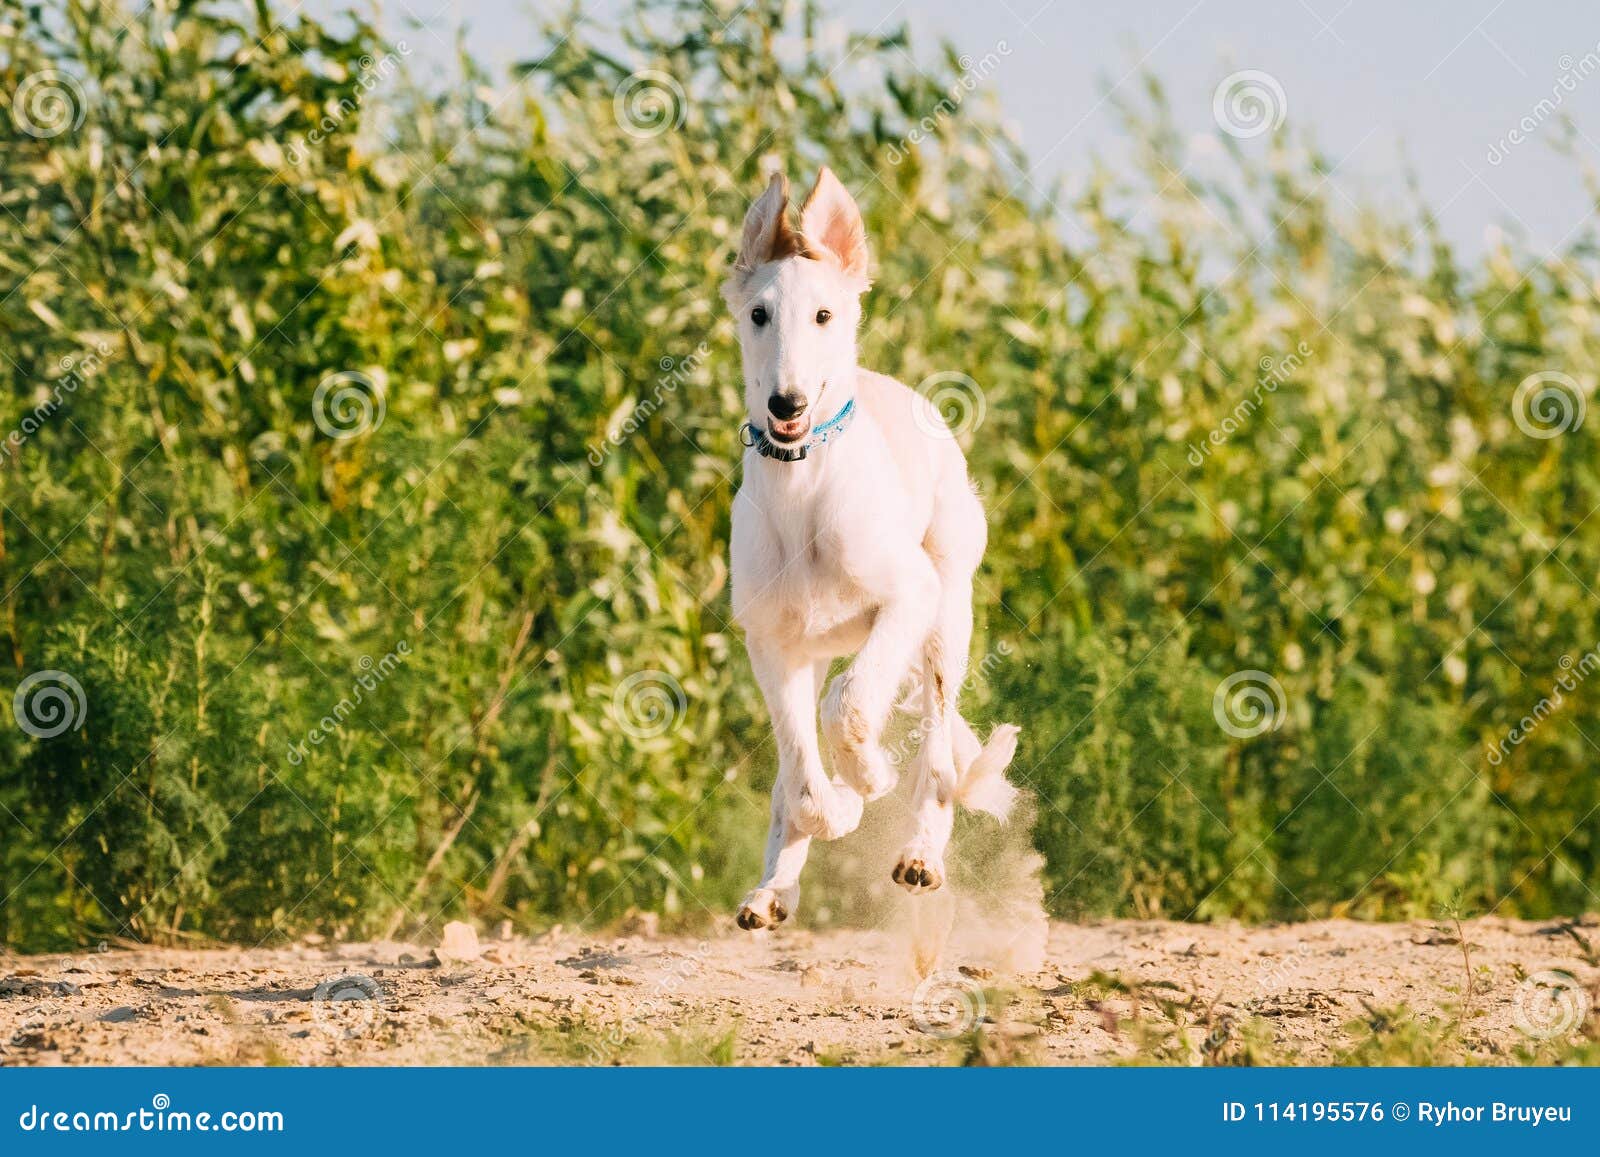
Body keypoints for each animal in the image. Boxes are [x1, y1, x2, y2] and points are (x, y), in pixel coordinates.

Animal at [723, 167, 1011, 934]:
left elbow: (849, 708)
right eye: (758, 315)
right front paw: (837, 810)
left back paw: (920, 854)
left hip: (947, 616)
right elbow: (801, 778)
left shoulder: (909, 595)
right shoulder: (772, 641)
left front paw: (868, 776)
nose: (787, 405)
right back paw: (771, 890)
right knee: (790, 776)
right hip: (818, 646)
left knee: (937, 757)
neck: (804, 486)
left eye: (824, 316)